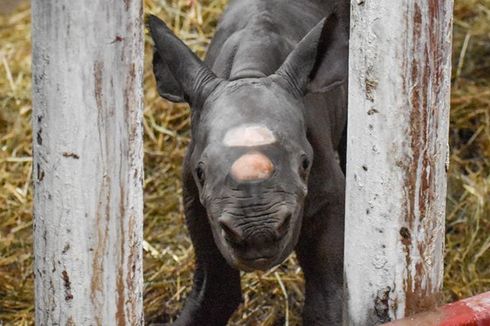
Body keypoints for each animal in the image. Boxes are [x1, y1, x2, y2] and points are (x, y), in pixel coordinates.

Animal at [148, 0, 348, 324]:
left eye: (305, 163)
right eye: (201, 172)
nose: (258, 234)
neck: (249, 73)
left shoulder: (327, 193)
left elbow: (327, 294)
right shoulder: (195, 199)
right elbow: (214, 288)